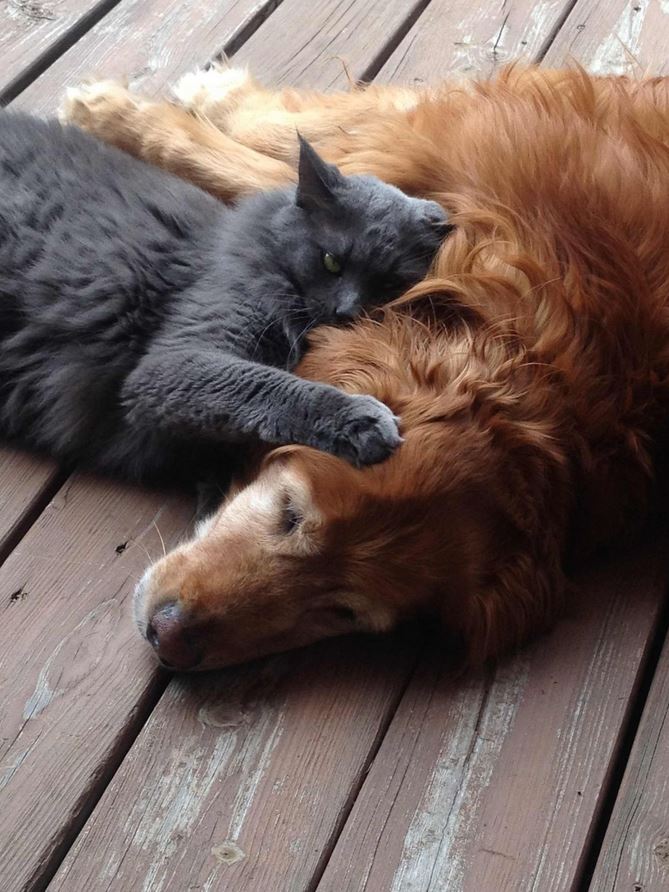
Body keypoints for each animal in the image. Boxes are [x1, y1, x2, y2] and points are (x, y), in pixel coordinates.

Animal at [1, 116, 448, 488]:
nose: (347, 310)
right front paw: (360, 422)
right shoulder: (172, 364)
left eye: (387, 283)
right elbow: (268, 386)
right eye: (331, 261)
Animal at [61, 68, 668, 668]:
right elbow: (294, 158)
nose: (168, 638)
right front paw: (127, 111)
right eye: (291, 511)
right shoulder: (447, 154)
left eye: (341, 611)